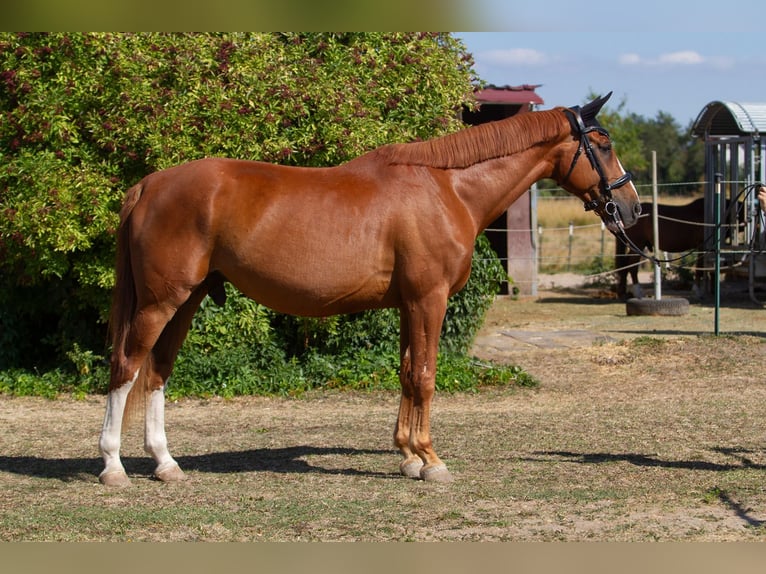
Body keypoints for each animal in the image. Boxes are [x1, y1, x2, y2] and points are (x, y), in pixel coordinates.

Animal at [99, 92, 640, 486]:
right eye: (604, 143)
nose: (632, 208)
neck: (447, 188)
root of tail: (149, 184)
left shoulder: (407, 304)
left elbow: (405, 373)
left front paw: (408, 456)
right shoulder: (429, 299)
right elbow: (425, 375)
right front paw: (431, 461)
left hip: (185, 301)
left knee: (157, 373)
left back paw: (166, 464)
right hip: (160, 302)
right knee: (126, 367)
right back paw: (114, 467)